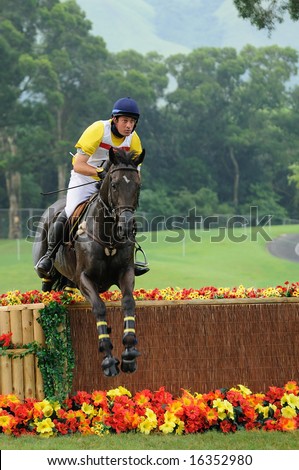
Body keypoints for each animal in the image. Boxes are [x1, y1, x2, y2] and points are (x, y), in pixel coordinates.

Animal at [32, 149, 145, 376]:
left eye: (137, 185)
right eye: (114, 185)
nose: (127, 227)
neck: (109, 236)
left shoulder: (126, 272)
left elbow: (129, 302)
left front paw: (129, 354)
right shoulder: (85, 279)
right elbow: (99, 308)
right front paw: (108, 359)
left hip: (67, 279)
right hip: (47, 267)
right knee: (46, 282)